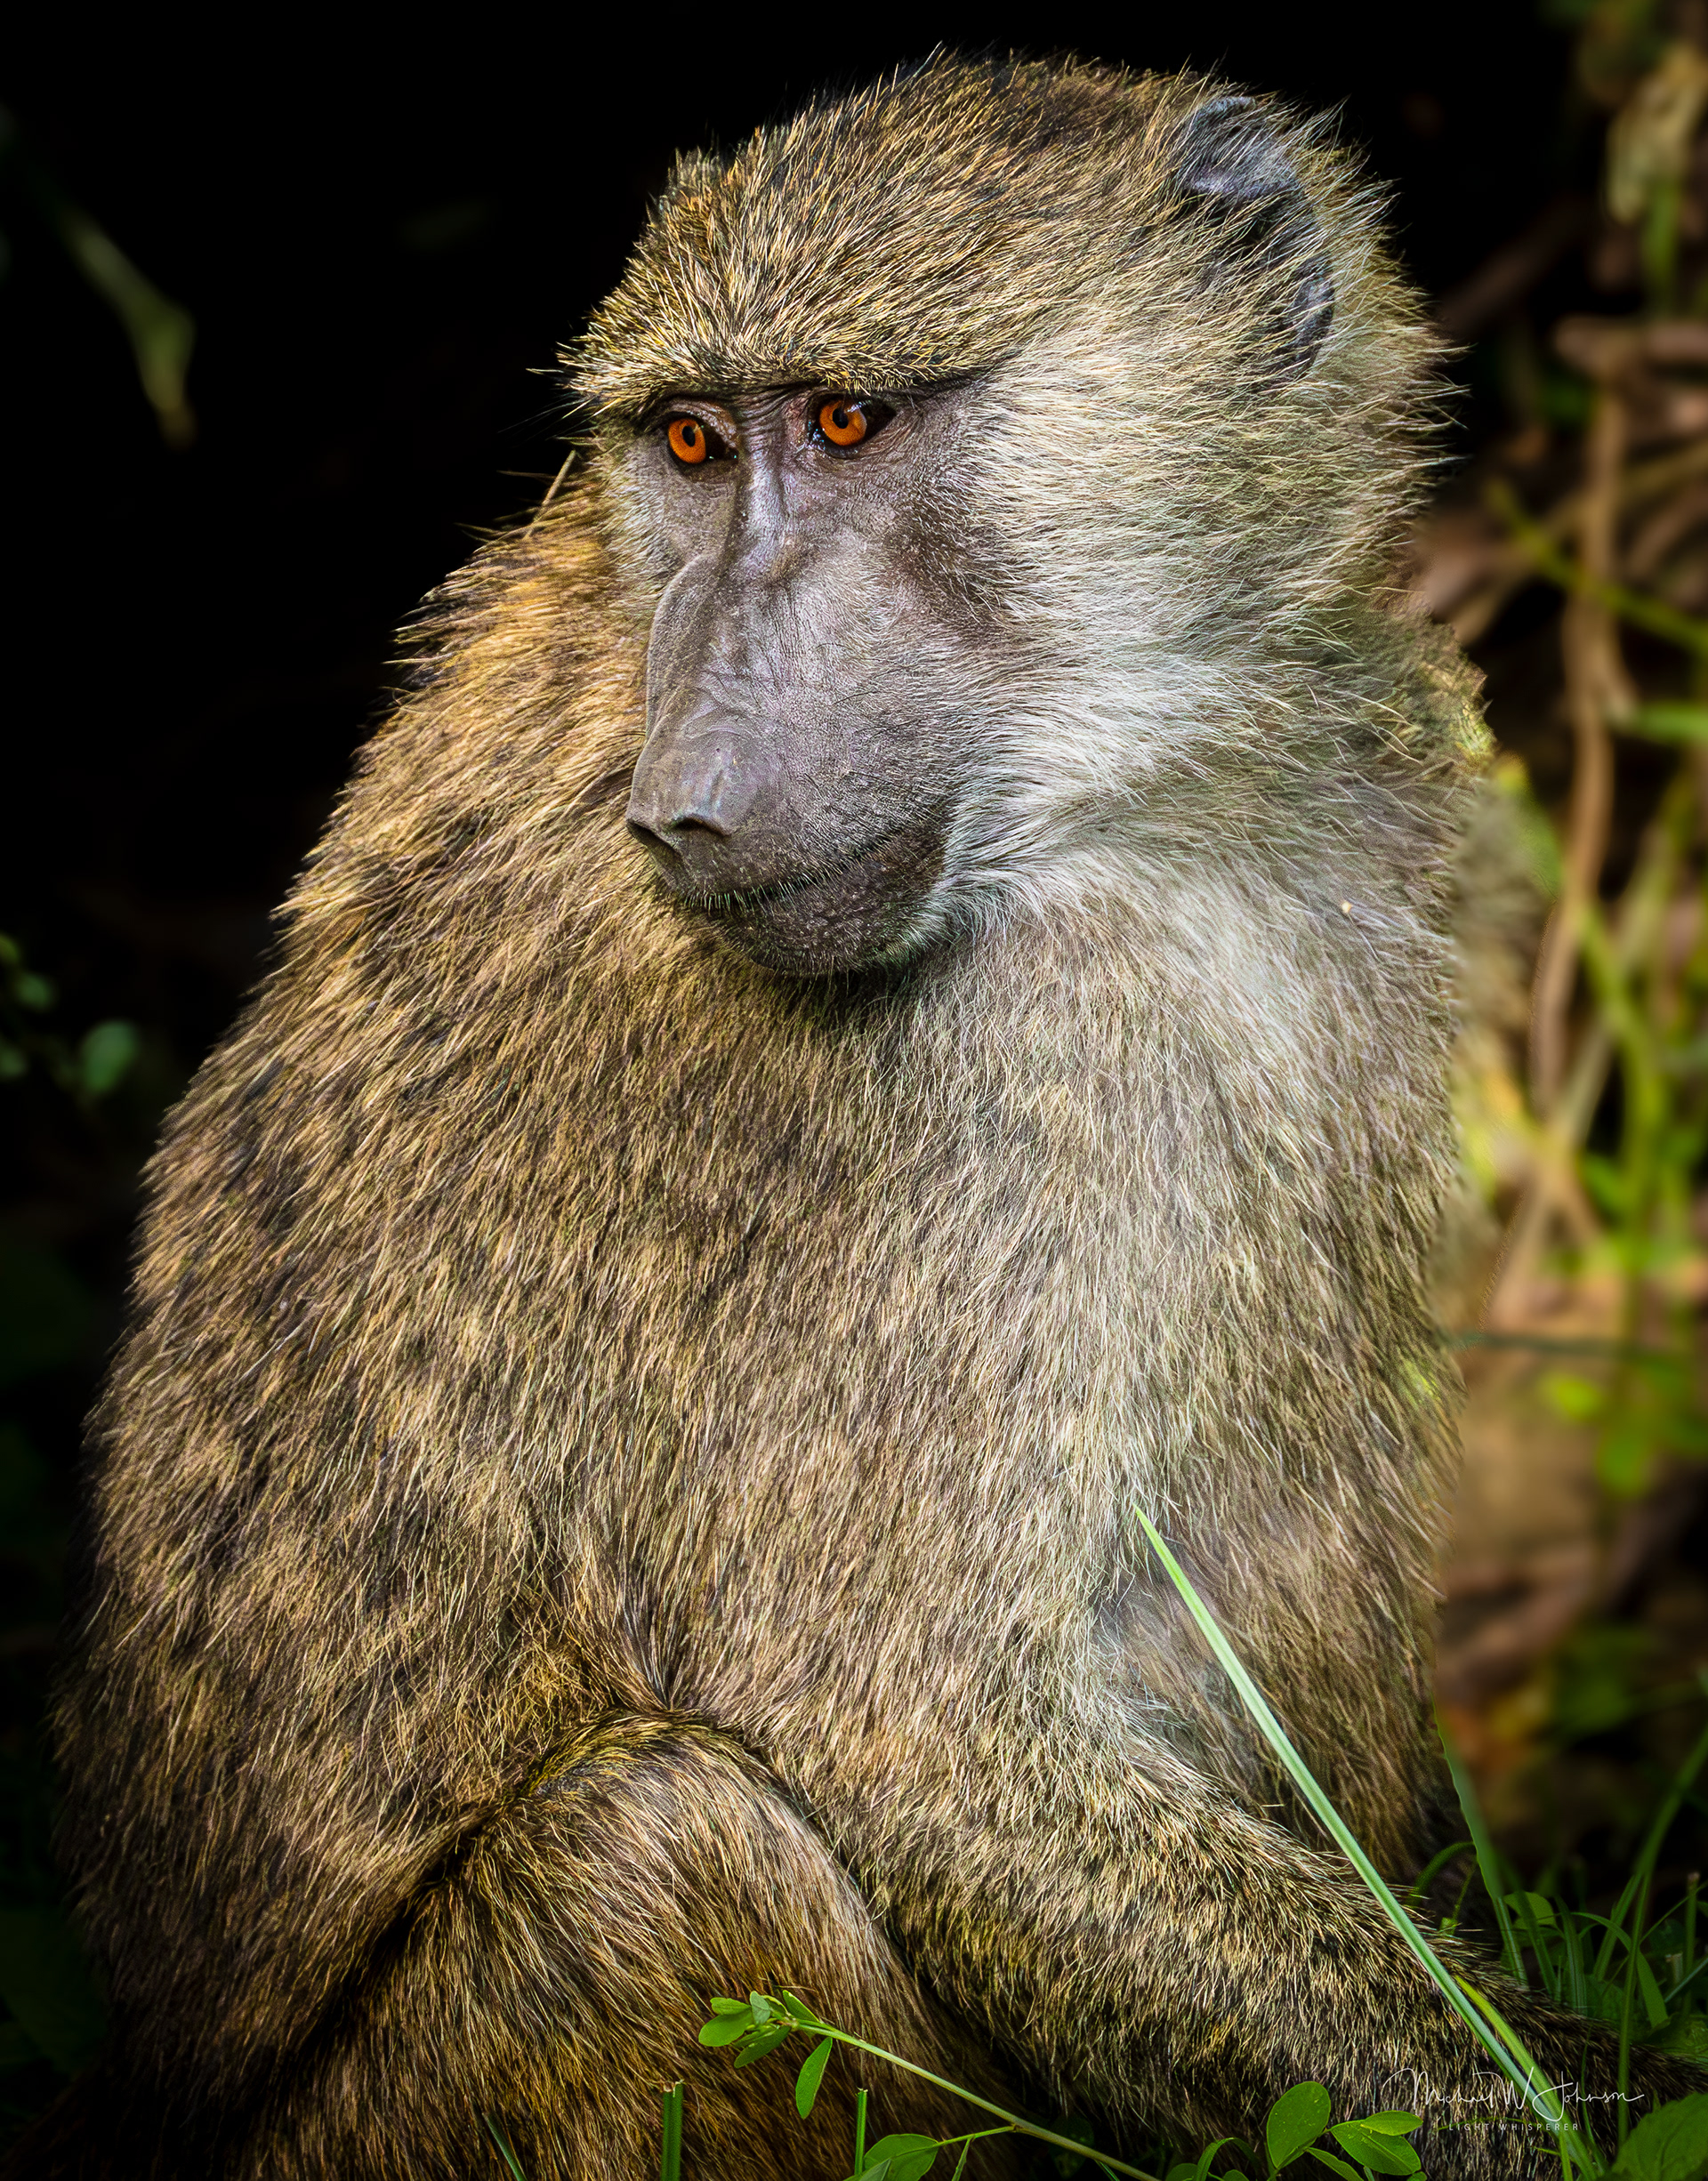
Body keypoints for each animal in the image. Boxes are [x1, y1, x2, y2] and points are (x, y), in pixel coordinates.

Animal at [14, 52, 1704, 2181]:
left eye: (841, 420)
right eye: (685, 441)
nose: (688, 801)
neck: (1145, 783)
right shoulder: (1010, 1062)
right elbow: (923, 1752)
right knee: (662, 1841)